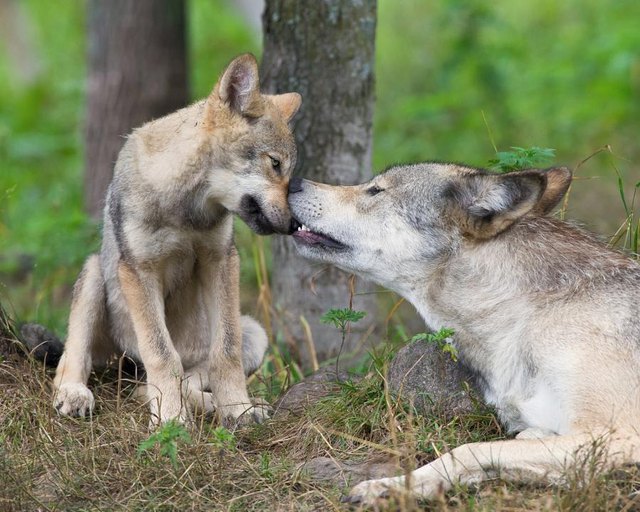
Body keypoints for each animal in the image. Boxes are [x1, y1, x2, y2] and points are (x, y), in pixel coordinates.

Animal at [53, 54, 301, 427]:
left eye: (289, 174)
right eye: (275, 164)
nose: (295, 224)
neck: (186, 210)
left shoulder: (220, 260)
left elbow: (225, 353)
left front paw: (238, 410)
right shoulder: (139, 271)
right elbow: (162, 355)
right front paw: (170, 421)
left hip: (255, 333)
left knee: (175, 379)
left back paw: (218, 406)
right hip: (96, 275)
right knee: (73, 362)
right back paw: (75, 395)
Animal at [288, 163, 640, 503]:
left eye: (376, 190)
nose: (291, 181)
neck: (527, 314)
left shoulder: (616, 436)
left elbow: (469, 449)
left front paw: (388, 488)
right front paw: (396, 489)